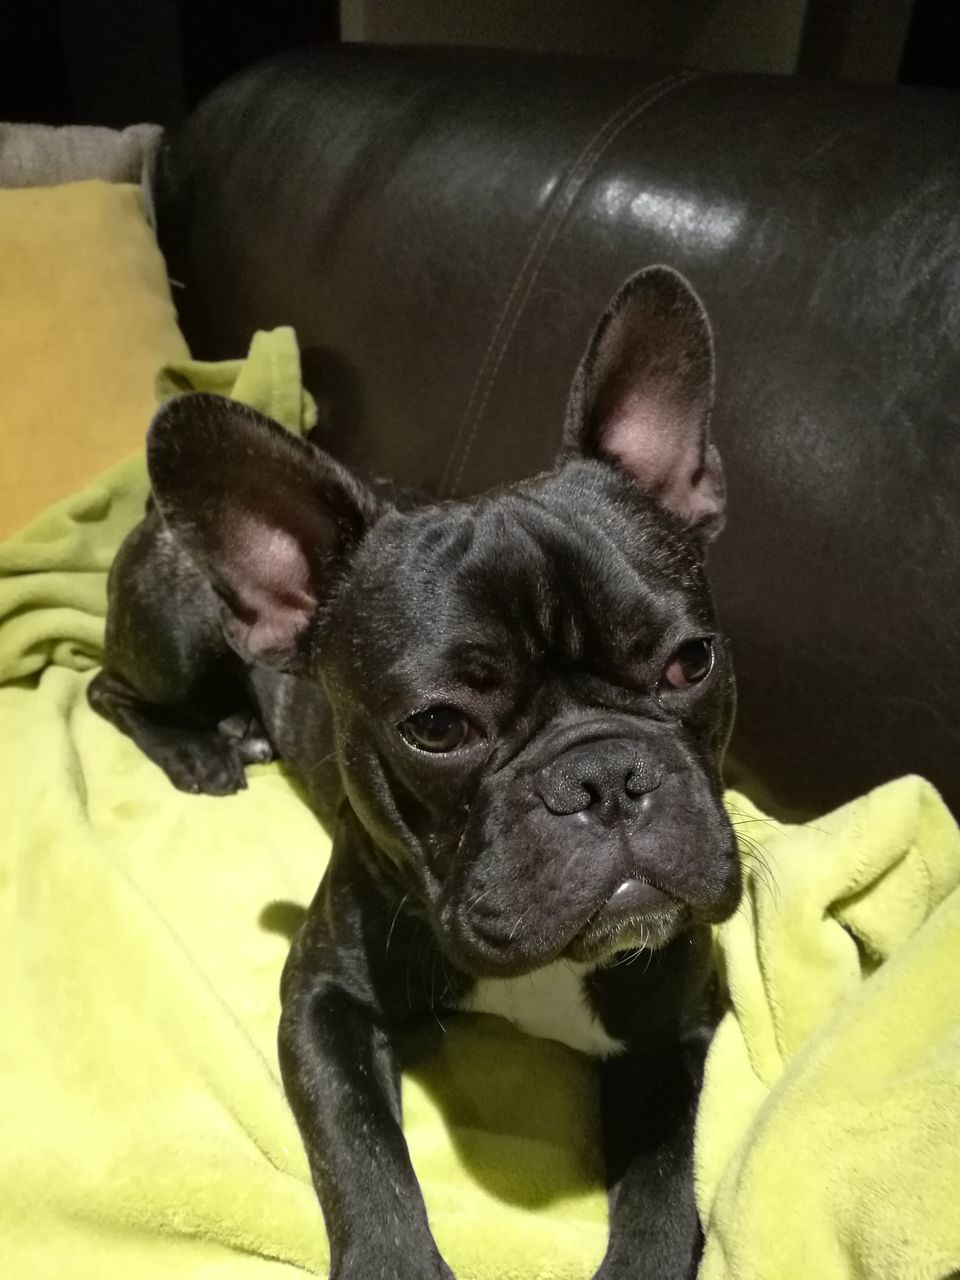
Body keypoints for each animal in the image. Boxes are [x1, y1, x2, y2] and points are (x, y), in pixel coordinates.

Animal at [90, 262, 742, 1280]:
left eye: (692, 661)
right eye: (437, 726)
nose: (605, 776)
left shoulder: (674, 1022)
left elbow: (664, 1176)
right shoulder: (321, 1002)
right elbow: (363, 1155)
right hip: (174, 635)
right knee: (104, 686)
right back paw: (201, 749)